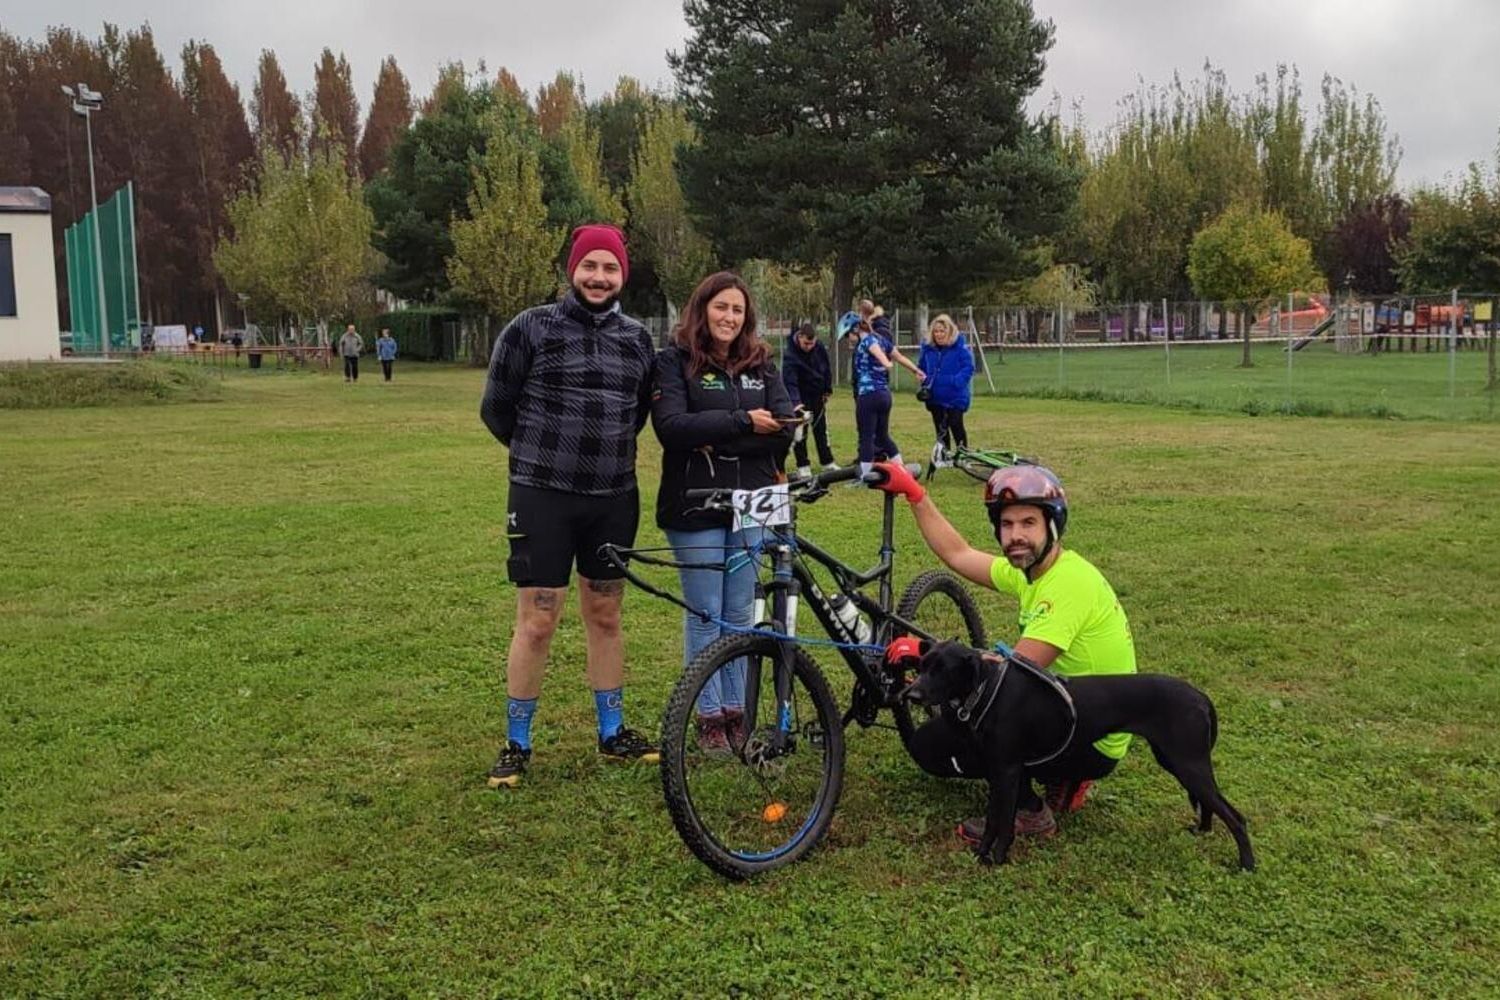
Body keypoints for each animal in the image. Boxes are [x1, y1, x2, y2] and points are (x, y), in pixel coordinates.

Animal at [900, 644, 1254, 869]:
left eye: (944, 670)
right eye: (923, 665)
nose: (911, 694)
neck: (989, 689)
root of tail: (1201, 696)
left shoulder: (1008, 771)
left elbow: (1002, 822)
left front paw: (997, 859)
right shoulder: (998, 770)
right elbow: (991, 822)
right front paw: (982, 855)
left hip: (1187, 764)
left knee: (1236, 817)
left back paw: (1246, 864)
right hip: (1179, 762)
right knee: (1212, 803)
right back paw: (1204, 832)